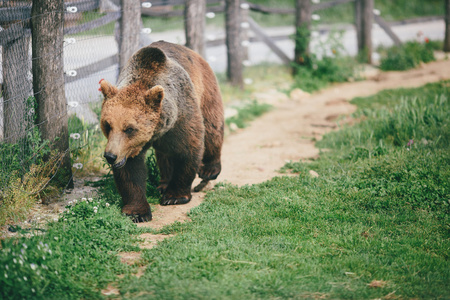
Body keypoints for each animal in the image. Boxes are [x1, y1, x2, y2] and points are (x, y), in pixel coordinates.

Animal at [100, 41, 223, 221]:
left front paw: (175, 196)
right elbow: (131, 169)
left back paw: (209, 169)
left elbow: (188, 148)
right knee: (165, 154)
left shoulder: (182, 113)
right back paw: (163, 183)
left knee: (212, 127)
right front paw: (137, 212)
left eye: (129, 129)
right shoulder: (128, 147)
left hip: (206, 89)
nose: (110, 156)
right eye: (107, 125)